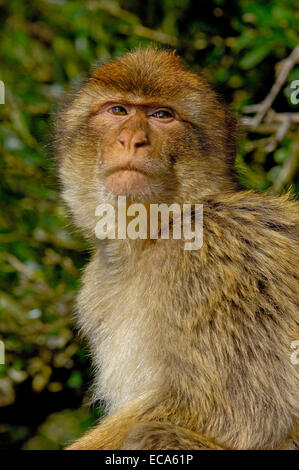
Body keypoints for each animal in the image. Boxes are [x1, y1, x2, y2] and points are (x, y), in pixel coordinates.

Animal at [54, 48, 299, 452]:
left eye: (162, 116)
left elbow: (239, 412)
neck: (154, 235)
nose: (132, 140)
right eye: (118, 110)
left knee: (152, 435)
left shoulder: (218, 260)